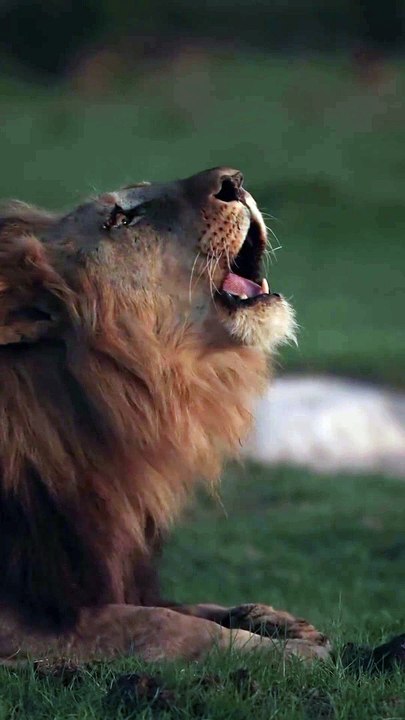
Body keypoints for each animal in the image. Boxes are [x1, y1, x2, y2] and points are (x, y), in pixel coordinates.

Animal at [0, 167, 330, 665]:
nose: (233, 180)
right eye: (119, 219)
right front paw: (285, 651)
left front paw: (277, 620)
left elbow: (181, 606)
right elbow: (161, 624)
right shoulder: (32, 612)